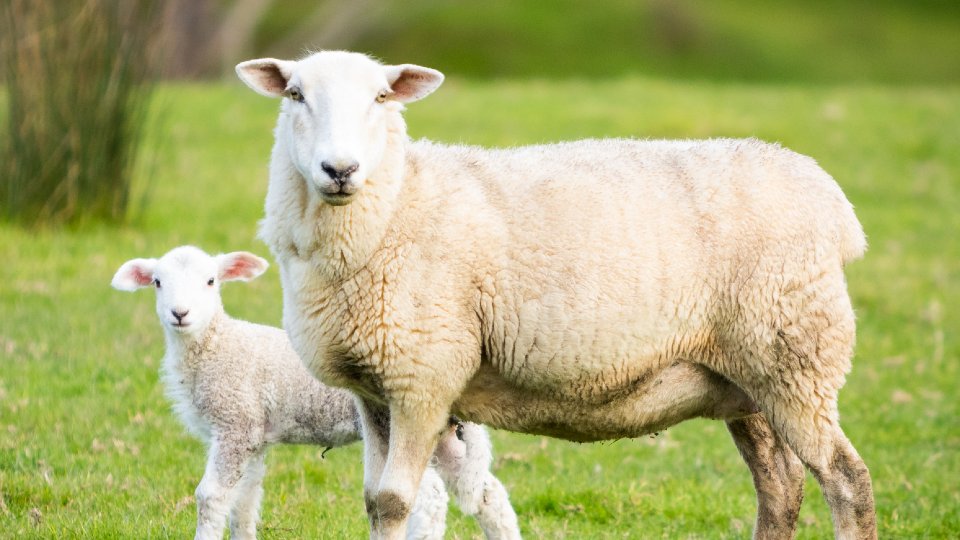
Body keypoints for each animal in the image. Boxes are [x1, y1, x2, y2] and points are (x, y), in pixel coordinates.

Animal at [110, 245, 521, 540]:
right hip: (447, 434)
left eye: (211, 281)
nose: (180, 314)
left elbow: (210, 498)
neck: (217, 345)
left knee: (431, 500)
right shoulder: (252, 435)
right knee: (489, 495)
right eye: (157, 282)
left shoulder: (235, 424)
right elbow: (244, 504)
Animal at [236, 50, 875, 540]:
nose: (339, 169)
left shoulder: (424, 376)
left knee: (846, 479)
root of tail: (831, 199)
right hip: (748, 377)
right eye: (295, 94)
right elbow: (375, 500)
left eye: (381, 98)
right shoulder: (374, 389)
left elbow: (394, 501)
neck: (397, 204)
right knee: (780, 485)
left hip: (794, 356)